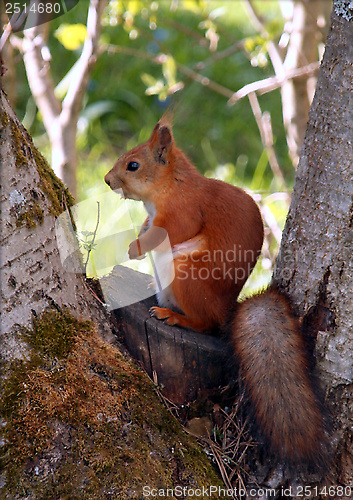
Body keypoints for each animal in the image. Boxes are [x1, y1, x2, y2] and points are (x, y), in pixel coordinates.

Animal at [104, 117, 324, 464]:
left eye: (133, 165)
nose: (107, 180)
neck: (172, 185)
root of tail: (226, 309)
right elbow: (148, 226)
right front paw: (139, 231)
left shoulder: (185, 211)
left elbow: (172, 231)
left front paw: (135, 247)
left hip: (187, 275)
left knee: (204, 324)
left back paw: (173, 316)